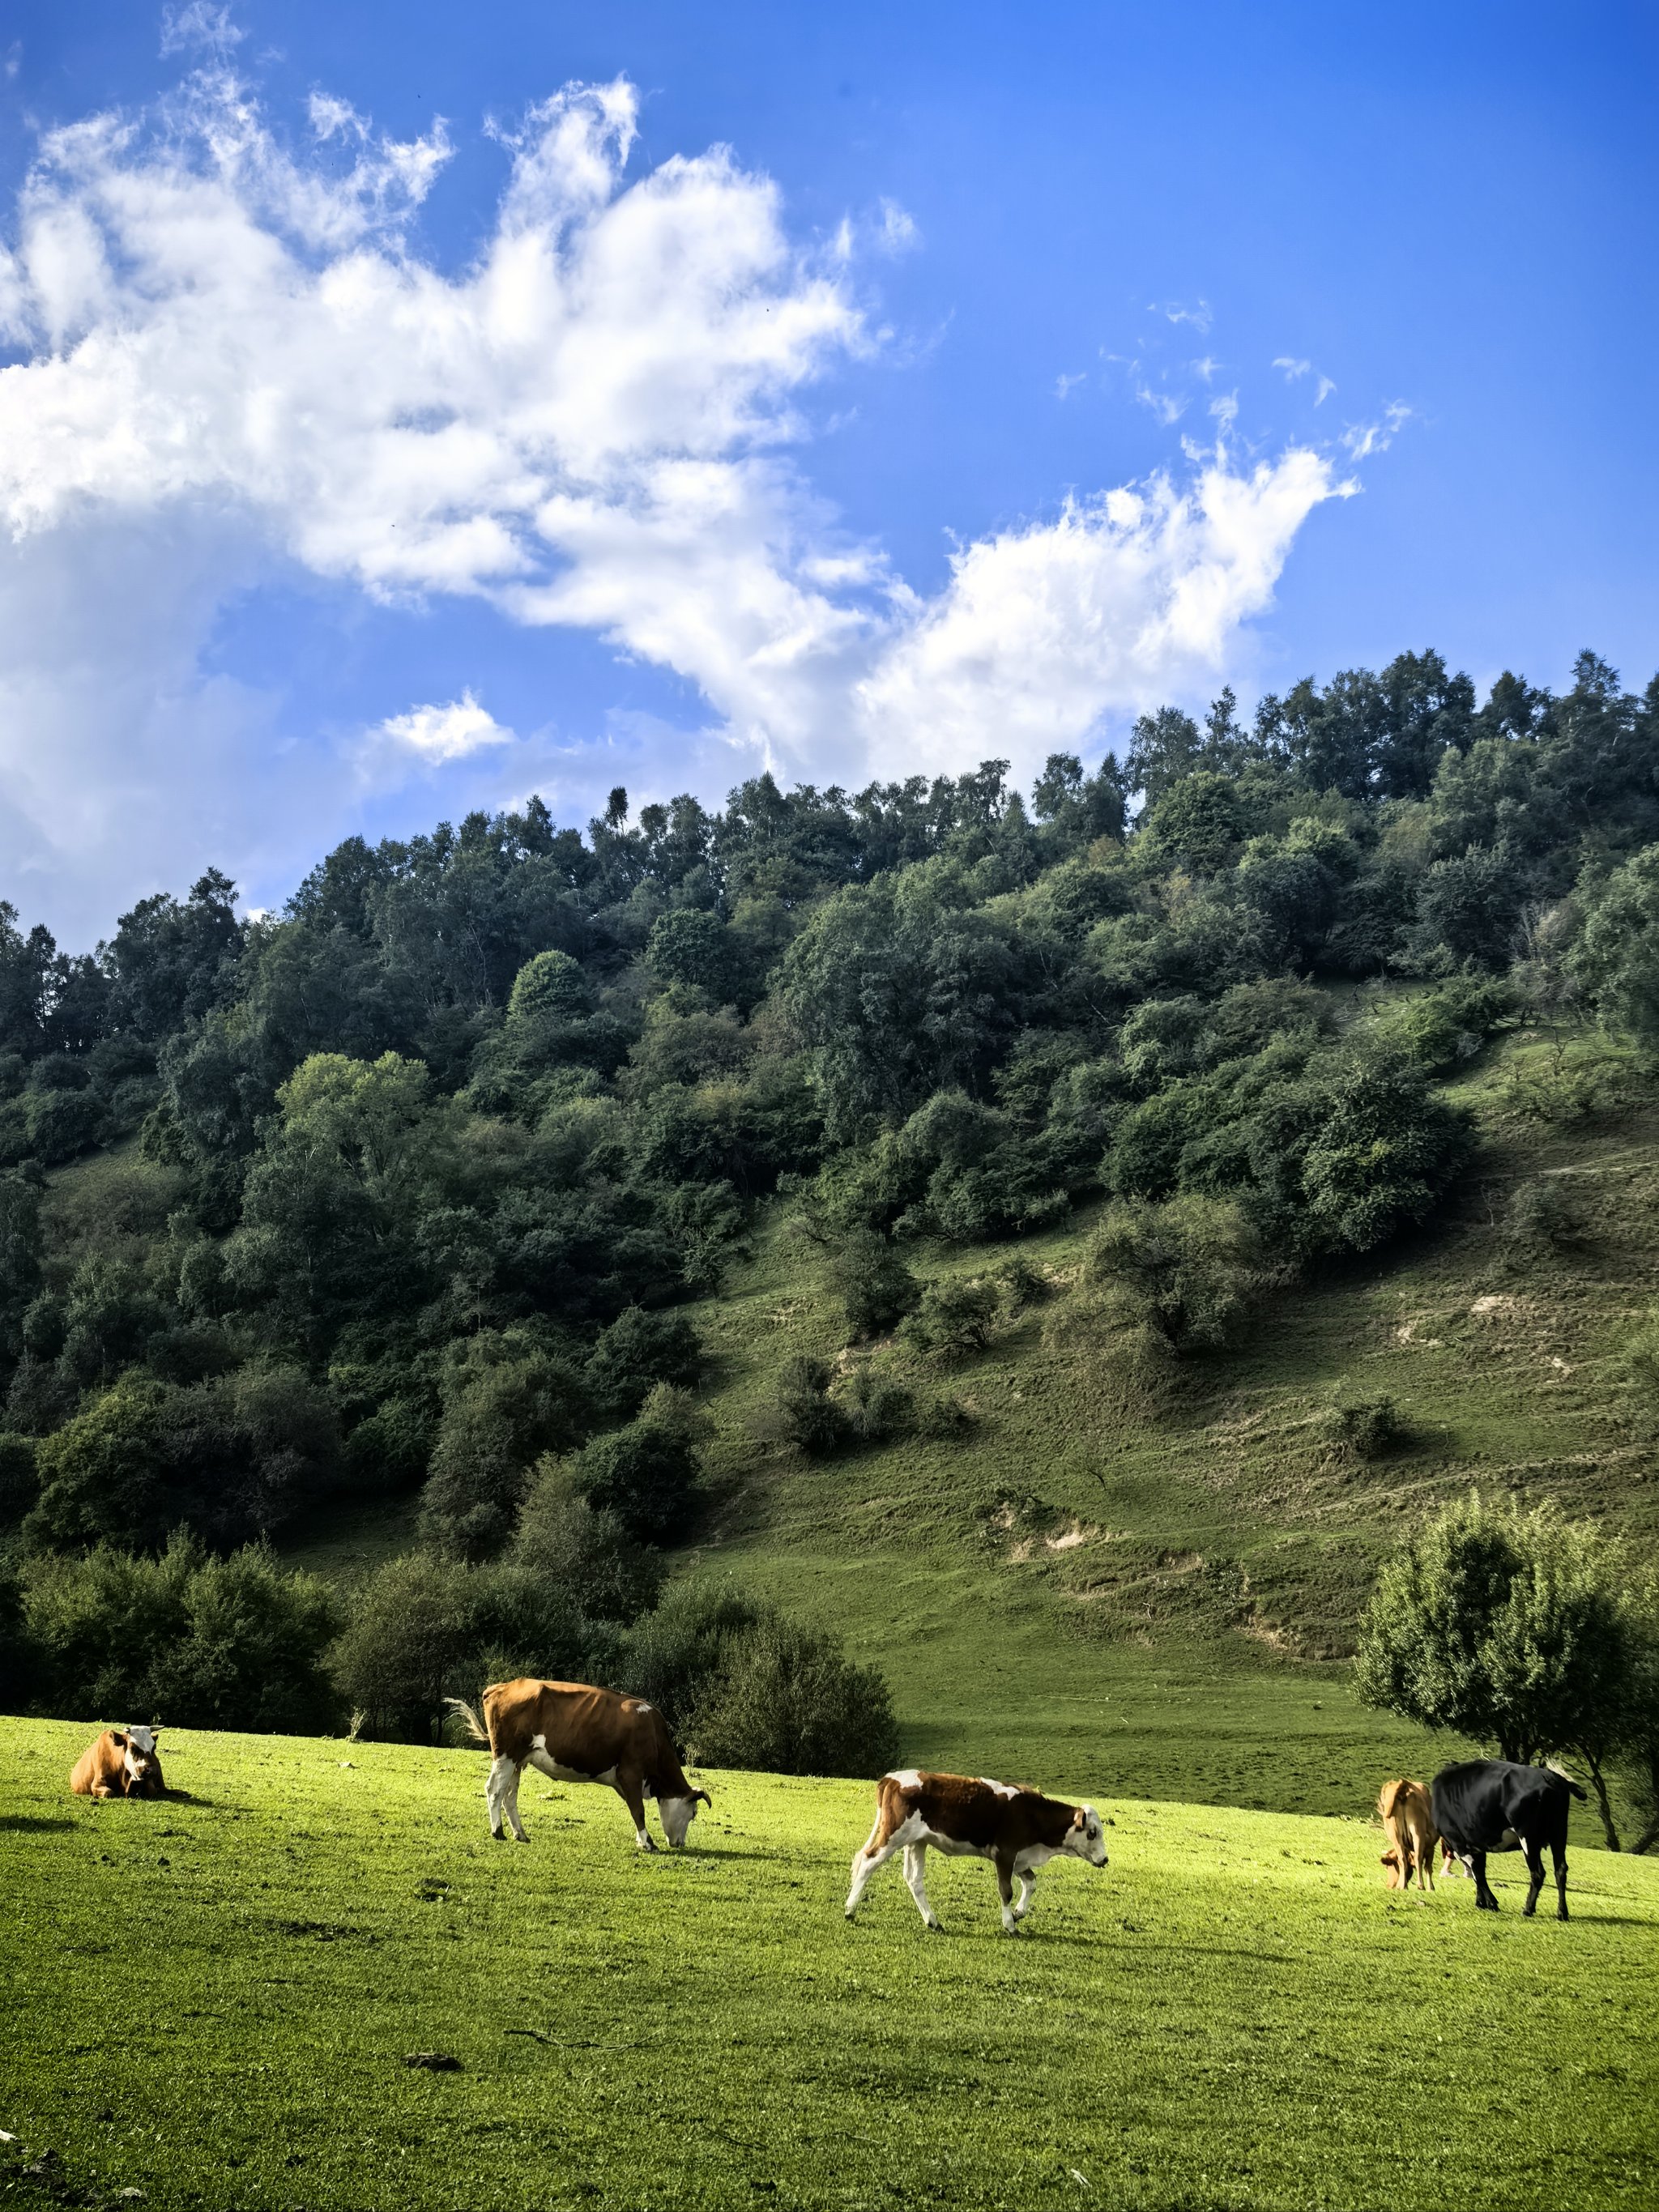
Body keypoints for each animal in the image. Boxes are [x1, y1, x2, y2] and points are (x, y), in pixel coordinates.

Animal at [451, 1672, 712, 1849]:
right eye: (693, 1813)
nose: (680, 1843)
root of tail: (501, 1686)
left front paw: (642, 1840)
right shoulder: (631, 1773)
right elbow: (638, 1810)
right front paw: (647, 1843)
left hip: (517, 1760)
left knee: (509, 1795)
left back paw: (520, 1833)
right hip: (506, 1754)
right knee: (494, 1790)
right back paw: (497, 1831)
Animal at [849, 1760, 1110, 1937]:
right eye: (1092, 1832)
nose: (1105, 1859)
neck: (1031, 1814)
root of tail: (892, 1777)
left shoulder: (1020, 1858)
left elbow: (1032, 1883)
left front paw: (1018, 1913)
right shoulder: (1005, 1853)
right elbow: (1006, 1891)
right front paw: (1009, 1924)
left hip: (917, 1842)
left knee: (914, 1880)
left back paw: (932, 1921)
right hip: (893, 1836)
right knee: (868, 1862)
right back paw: (850, 1910)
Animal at [1380, 1769, 1442, 1893]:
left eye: (1388, 1867)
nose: (1389, 1885)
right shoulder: (1431, 1846)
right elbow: (1428, 1866)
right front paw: (1431, 1887)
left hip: (1395, 1833)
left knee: (1402, 1858)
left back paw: (1403, 1886)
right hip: (1417, 1831)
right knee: (1418, 1857)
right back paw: (1420, 1885)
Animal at [1433, 1760, 1593, 1920]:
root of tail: (1549, 1776)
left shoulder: (1460, 1844)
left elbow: (1478, 1874)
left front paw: (1491, 1903)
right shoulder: (1477, 1847)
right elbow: (1478, 1873)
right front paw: (1481, 1902)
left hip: (1528, 1838)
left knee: (1538, 1873)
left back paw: (1528, 1909)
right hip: (1559, 1835)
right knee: (1560, 1870)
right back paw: (1562, 1912)